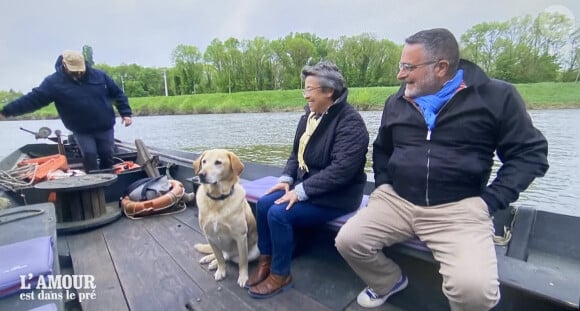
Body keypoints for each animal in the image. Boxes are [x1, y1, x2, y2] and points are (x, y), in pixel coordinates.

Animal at [194, 150, 260, 288]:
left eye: (218, 162)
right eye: (204, 162)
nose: (201, 174)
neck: (217, 200)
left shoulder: (240, 237)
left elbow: (243, 261)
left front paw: (243, 277)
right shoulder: (210, 236)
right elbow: (219, 258)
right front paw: (220, 270)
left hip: (255, 251)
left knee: (229, 257)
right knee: (221, 255)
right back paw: (210, 260)